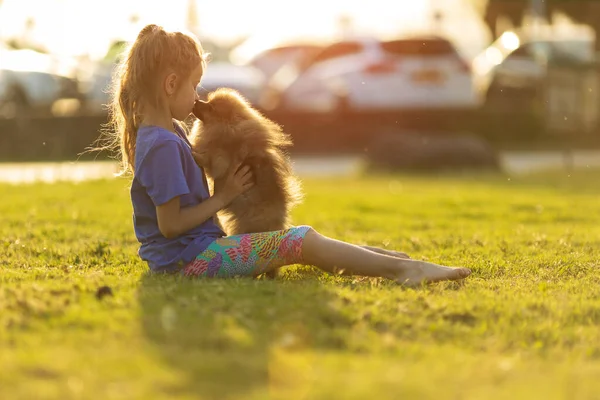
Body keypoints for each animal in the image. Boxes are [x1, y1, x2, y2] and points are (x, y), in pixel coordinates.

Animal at [189, 88, 302, 241]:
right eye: (207, 101)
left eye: (210, 107)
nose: (196, 101)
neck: (228, 126)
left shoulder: (221, 161)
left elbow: (209, 158)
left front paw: (194, 153)